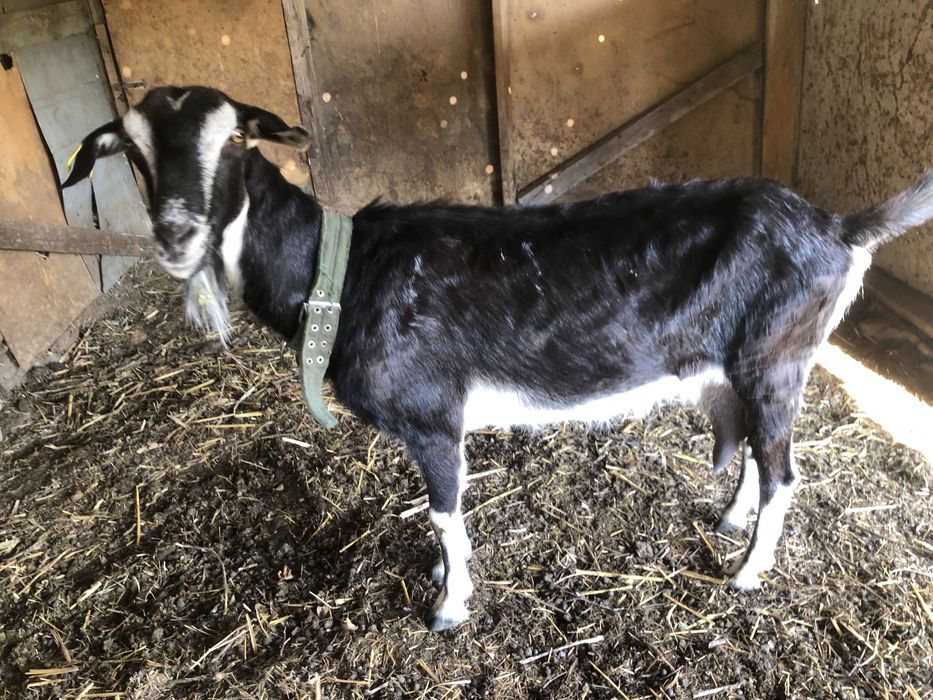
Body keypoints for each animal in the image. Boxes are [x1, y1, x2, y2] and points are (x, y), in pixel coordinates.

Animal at [64, 86, 933, 631]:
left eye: (235, 141)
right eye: (132, 152)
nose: (176, 234)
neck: (340, 270)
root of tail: (839, 228)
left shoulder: (432, 417)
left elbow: (445, 513)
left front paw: (449, 605)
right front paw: (443, 582)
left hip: (776, 356)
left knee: (785, 469)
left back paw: (748, 572)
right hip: (747, 368)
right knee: (756, 449)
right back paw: (728, 519)